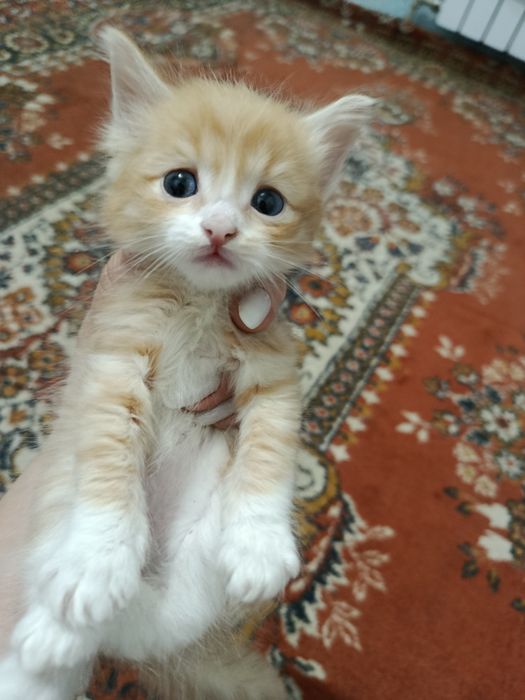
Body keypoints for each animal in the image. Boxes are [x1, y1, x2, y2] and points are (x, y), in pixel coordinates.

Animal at [0, 27, 373, 700]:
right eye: (180, 183)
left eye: (267, 201)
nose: (221, 228)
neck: (198, 305)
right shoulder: (112, 358)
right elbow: (109, 462)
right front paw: (96, 561)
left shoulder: (275, 370)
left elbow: (269, 453)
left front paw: (259, 543)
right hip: (50, 511)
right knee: (71, 587)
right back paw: (52, 632)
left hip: (196, 562)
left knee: (156, 622)